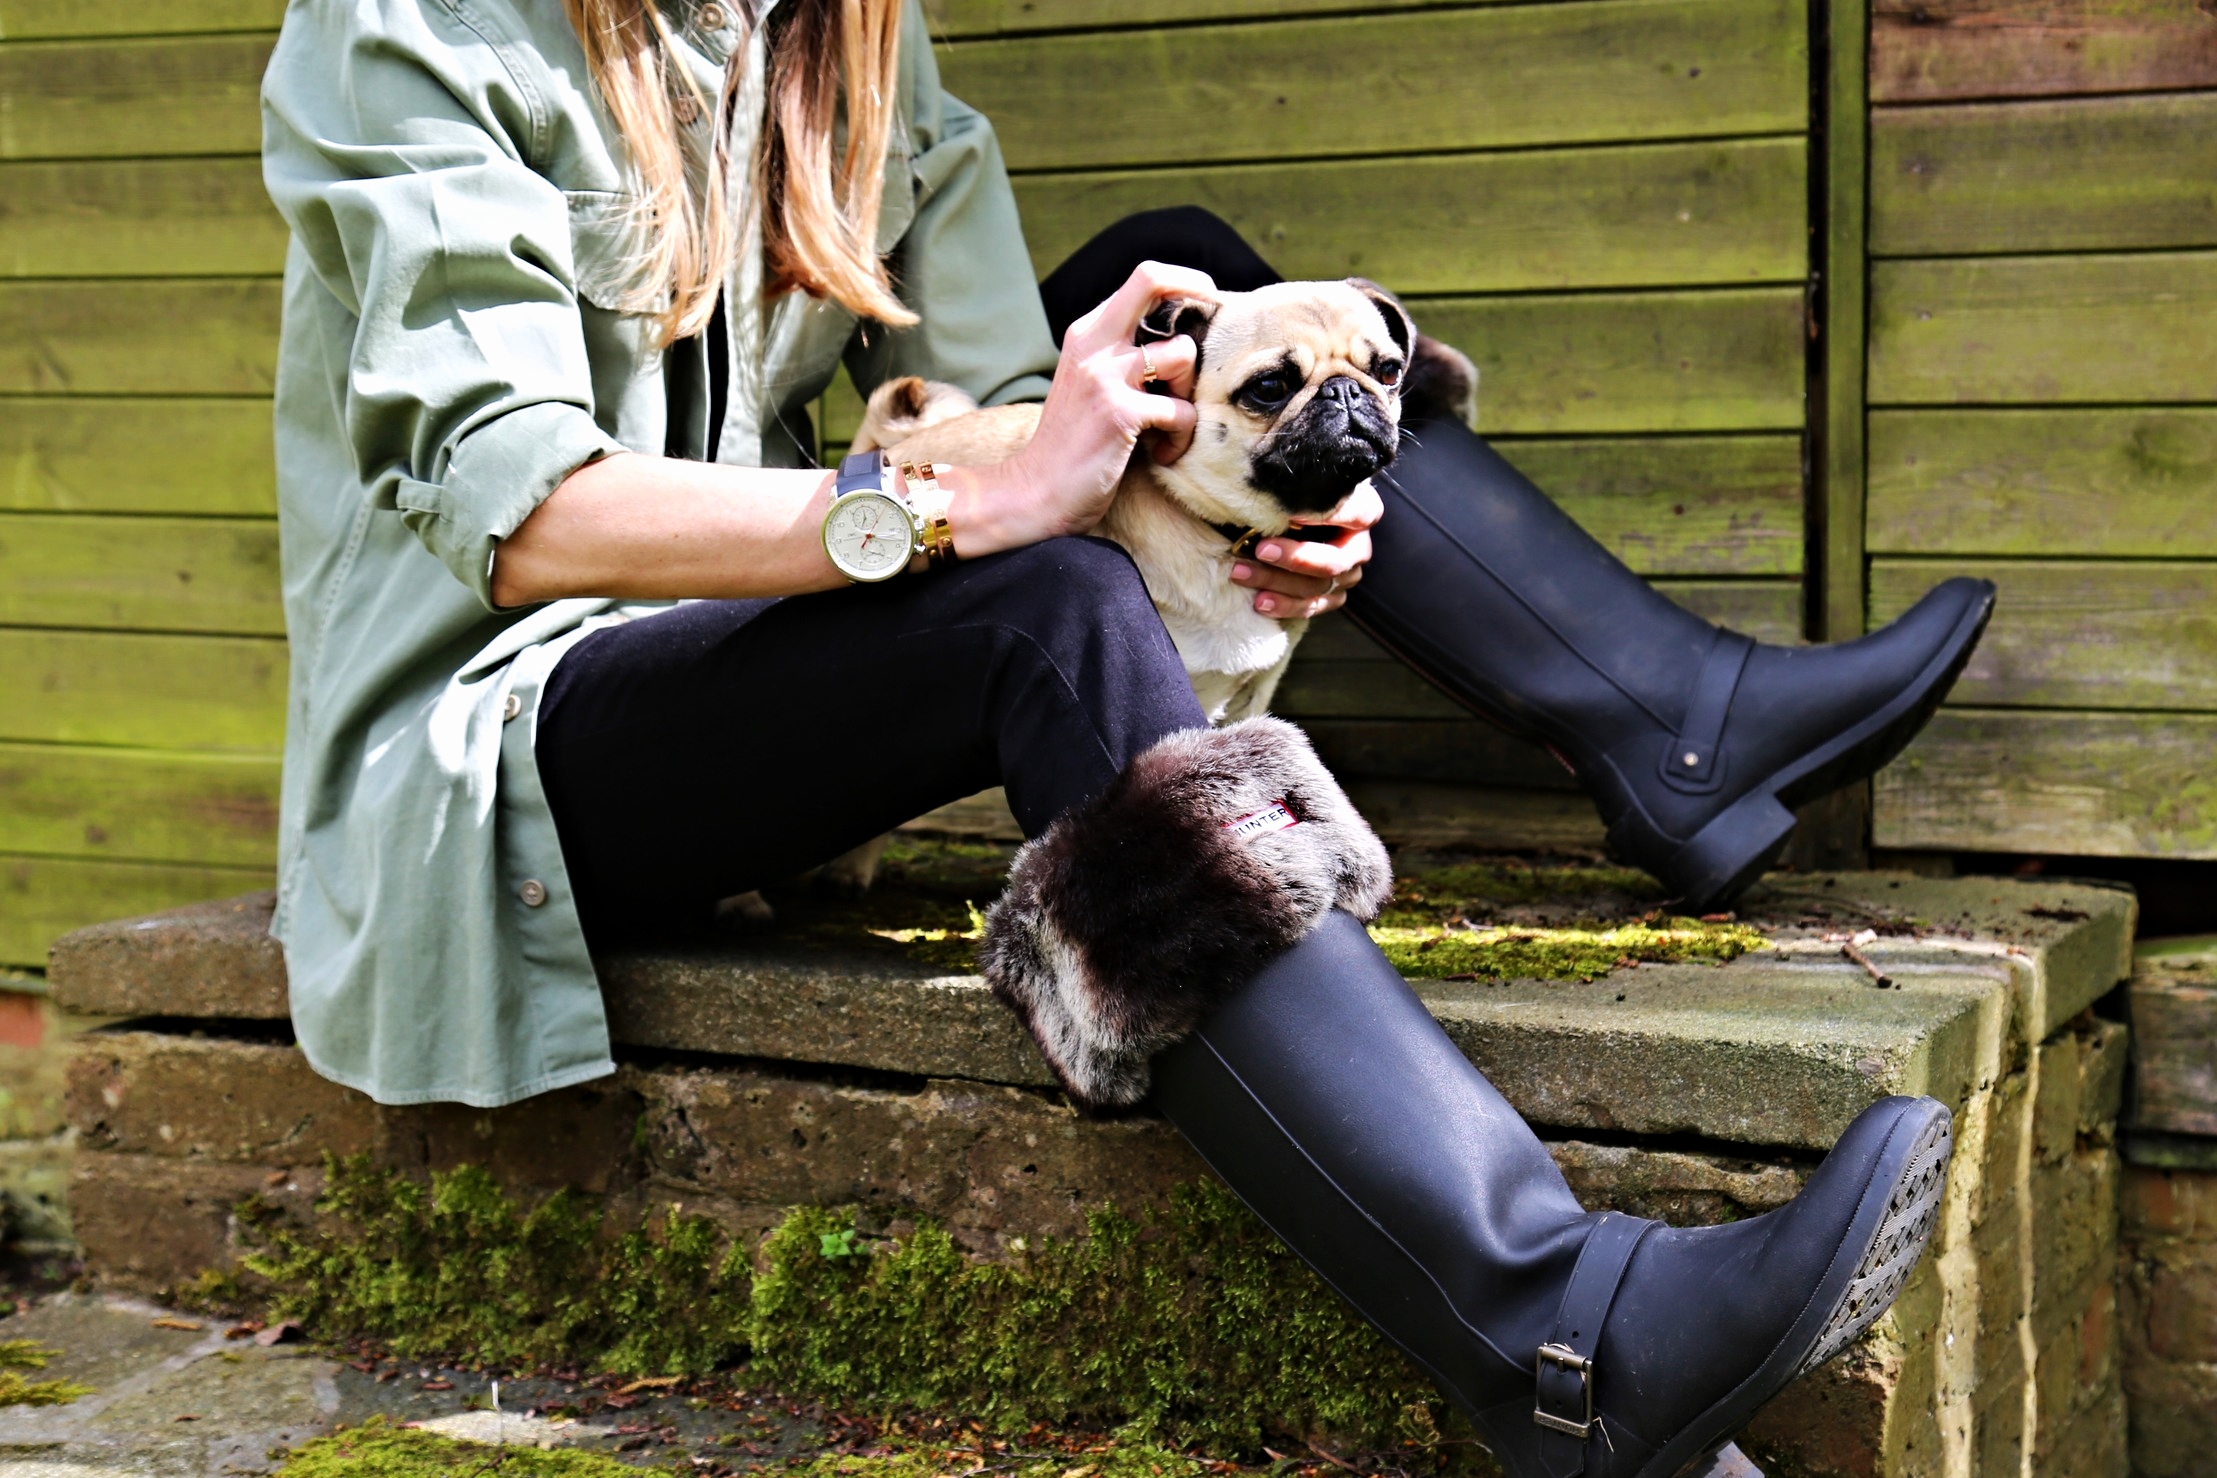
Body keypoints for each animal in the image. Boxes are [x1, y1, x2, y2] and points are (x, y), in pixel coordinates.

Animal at [713, 279, 1472, 917]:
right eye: (1269, 387)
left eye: (1386, 371)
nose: (1346, 394)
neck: (1227, 534)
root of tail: (899, 446)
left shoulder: (1246, 702)